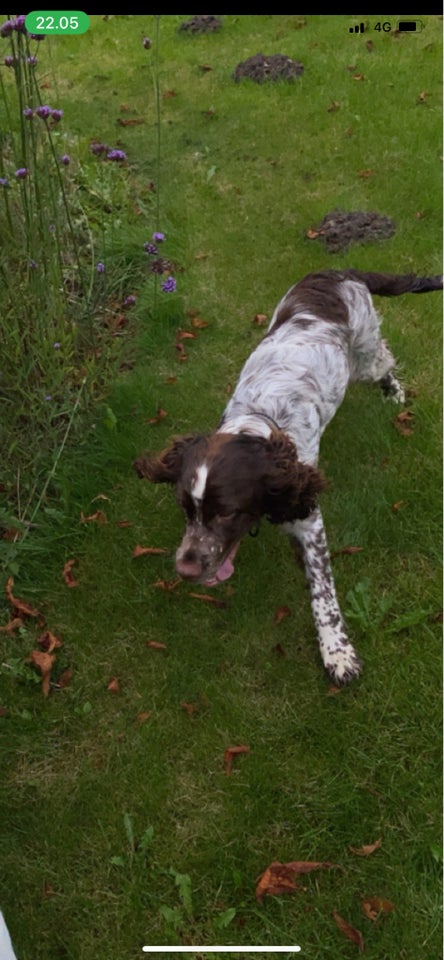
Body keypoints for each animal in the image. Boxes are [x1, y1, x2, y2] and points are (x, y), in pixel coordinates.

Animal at [134, 270, 442, 688]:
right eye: (186, 510)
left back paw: (394, 392)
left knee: (383, 361)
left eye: (227, 513)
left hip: (364, 355)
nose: (186, 570)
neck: (259, 423)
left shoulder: (306, 516)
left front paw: (337, 653)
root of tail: (340, 272)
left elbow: (323, 593)